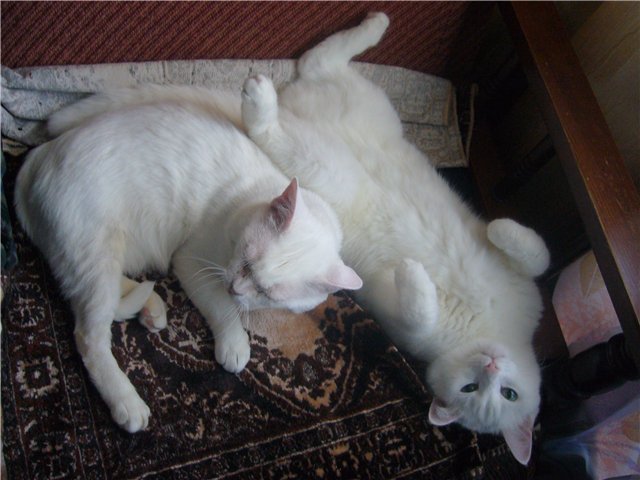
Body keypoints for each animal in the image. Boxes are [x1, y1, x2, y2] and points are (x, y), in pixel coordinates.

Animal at [14, 87, 362, 433]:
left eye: (267, 293)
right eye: (246, 258)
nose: (236, 288)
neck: (245, 199)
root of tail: (40, 154)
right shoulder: (192, 263)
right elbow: (222, 308)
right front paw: (234, 343)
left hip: (105, 258)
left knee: (110, 294)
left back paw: (151, 307)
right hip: (96, 255)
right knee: (90, 337)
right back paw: (127, 403)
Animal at [239, 12, 550, 465]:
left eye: (501, 394)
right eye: (477, 388)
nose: (490, 365)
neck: (488, 328)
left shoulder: (404, 329)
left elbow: (419, 311)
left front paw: (414, 274)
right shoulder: (527, 287)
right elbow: (536, 252)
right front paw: (493, 225)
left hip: (330, 165)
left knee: (308, 74)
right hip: (367, 118)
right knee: (317, 61)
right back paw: (372, 26)